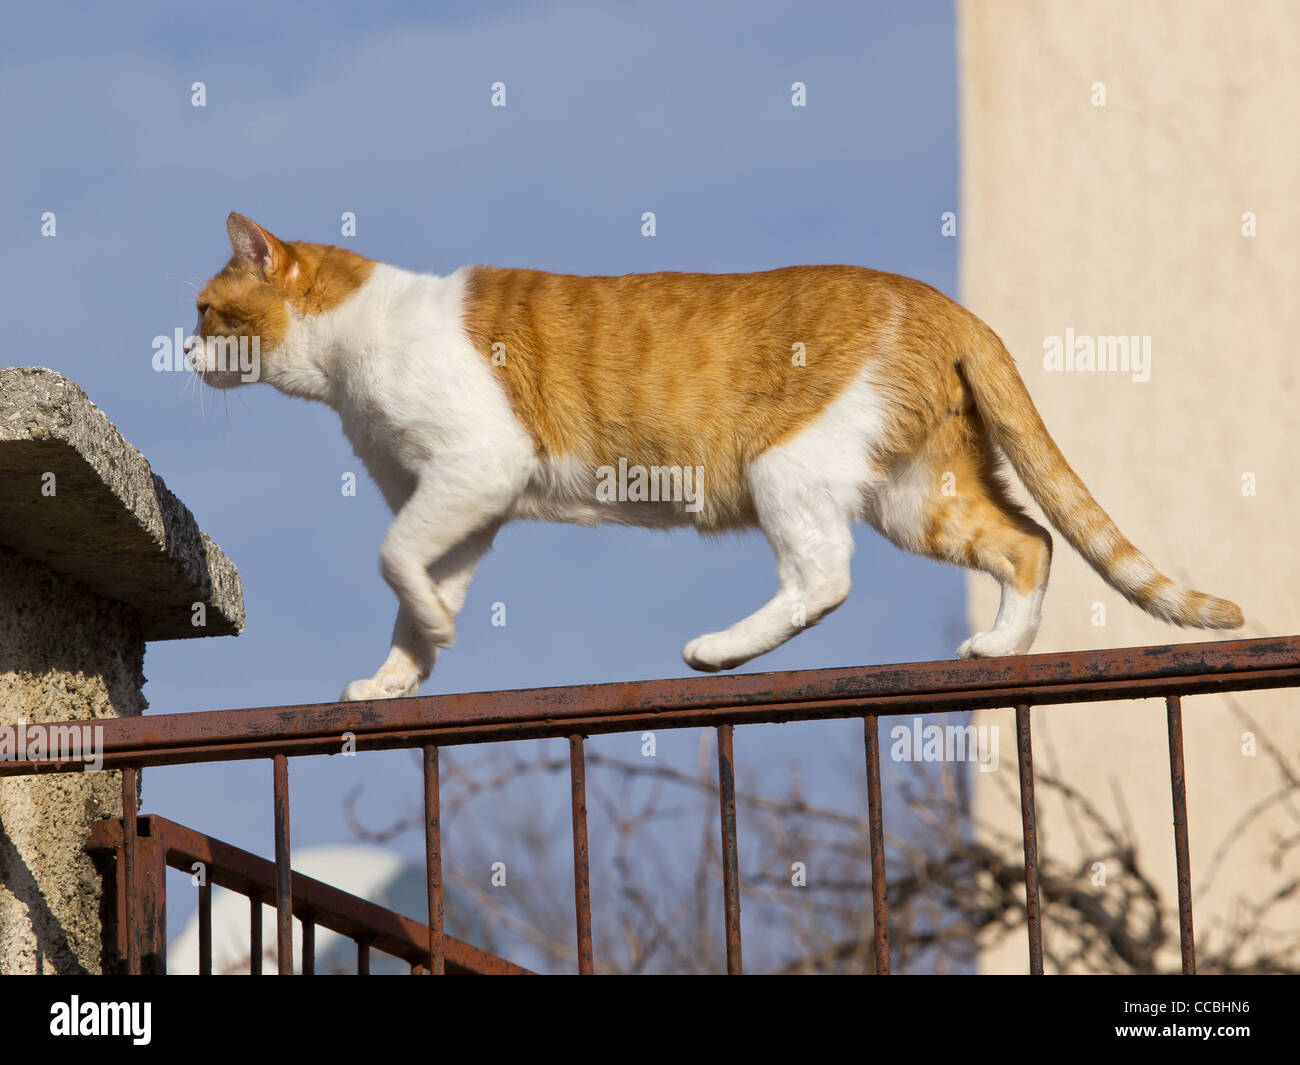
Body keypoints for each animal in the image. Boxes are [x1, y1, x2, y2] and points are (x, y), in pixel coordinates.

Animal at [185, 211, 1237, 702]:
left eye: (204, 310)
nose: (182, 351)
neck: (353, 347)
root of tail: (940, 300)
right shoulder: (463, 505)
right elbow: (415, 585)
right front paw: (402, 673)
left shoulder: (475, 468)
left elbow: (394, 556)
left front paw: (435, 636)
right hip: (916, 493)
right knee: (1028, 542)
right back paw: (999, 646)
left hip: (789, 466)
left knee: (825, 577)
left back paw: (721, 649)